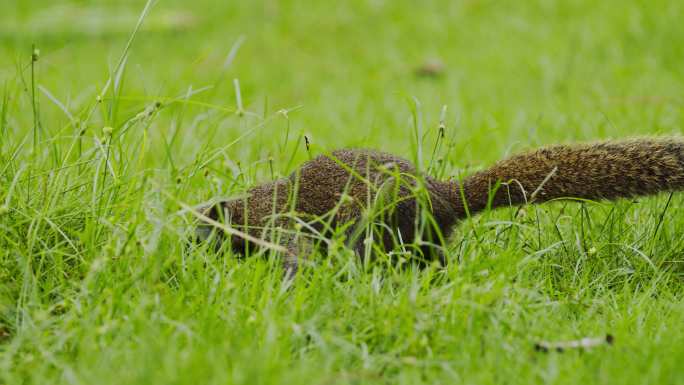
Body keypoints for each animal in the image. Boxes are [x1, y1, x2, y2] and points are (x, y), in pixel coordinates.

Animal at [195, 136, 684, 272]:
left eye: (201, 234)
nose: (187, 251)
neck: (257, 205)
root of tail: (441, 195)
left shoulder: (283, 227)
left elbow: (296, 257)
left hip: (388, 223)